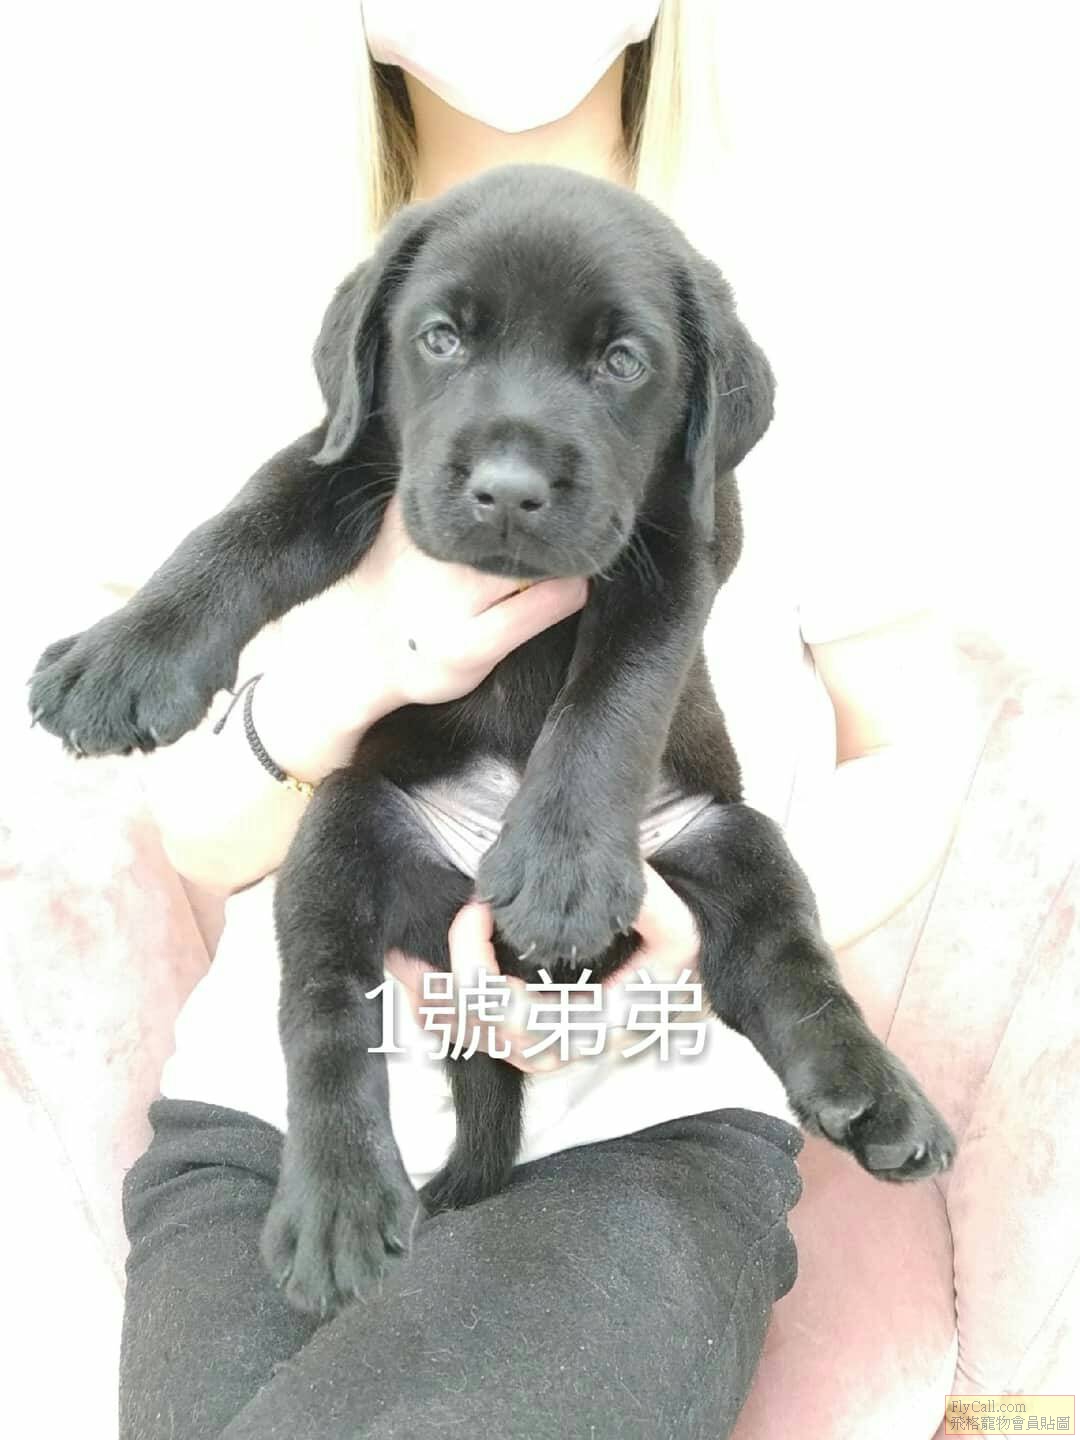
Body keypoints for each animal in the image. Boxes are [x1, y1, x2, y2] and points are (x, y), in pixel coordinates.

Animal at [30, 165, 955, 1316]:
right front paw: (123, 658)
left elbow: (614, 692)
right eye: (440, 339)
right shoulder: (354, 454)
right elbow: (241, 526)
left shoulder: (676, 545)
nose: (511, 490)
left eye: (622, 360)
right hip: (344, 824)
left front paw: (562, 872)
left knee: (786, 965)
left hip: (734, 837)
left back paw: (875, 1099)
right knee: (323, 1011)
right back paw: (340, 1204)